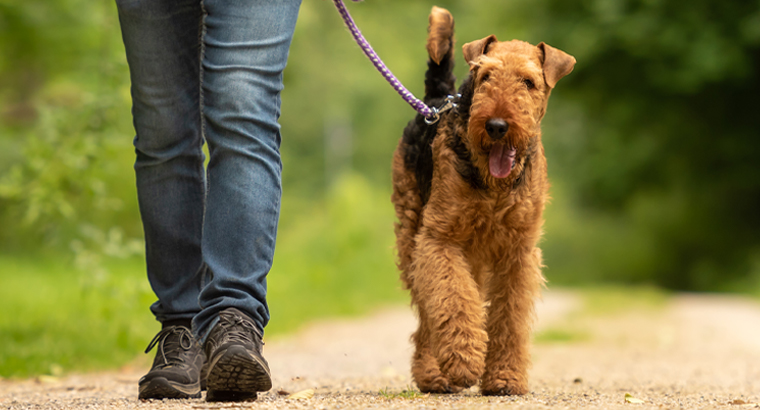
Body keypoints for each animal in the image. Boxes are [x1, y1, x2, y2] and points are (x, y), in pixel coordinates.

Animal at [392, 6, 576, 396]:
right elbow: (453, 301)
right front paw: (464, 362)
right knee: (429, 312)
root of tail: (437, 99)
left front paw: (504, 378)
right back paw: (433, 373)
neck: (495, 186)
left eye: (528, 82)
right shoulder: (439, 239)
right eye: (487, 75)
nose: (496, 126)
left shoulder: (518, 251)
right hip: (412, 235)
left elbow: (509, 318)